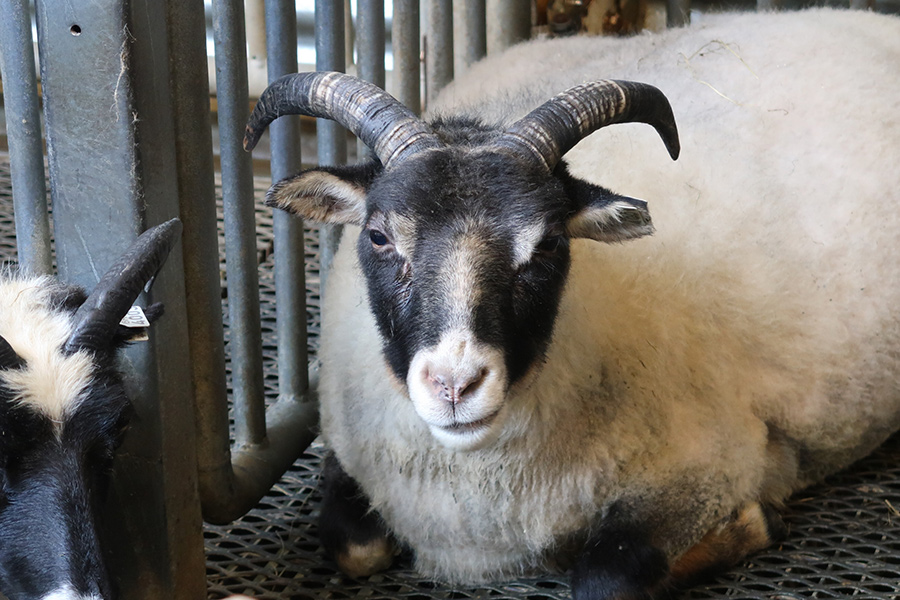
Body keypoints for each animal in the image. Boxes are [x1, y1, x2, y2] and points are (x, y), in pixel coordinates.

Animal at [246, 8, 900, 600]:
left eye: (550, 243)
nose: (455, 385)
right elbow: (354, 549)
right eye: (379, 236)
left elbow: (602, 580)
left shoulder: (710, 467)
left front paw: (755, 521)